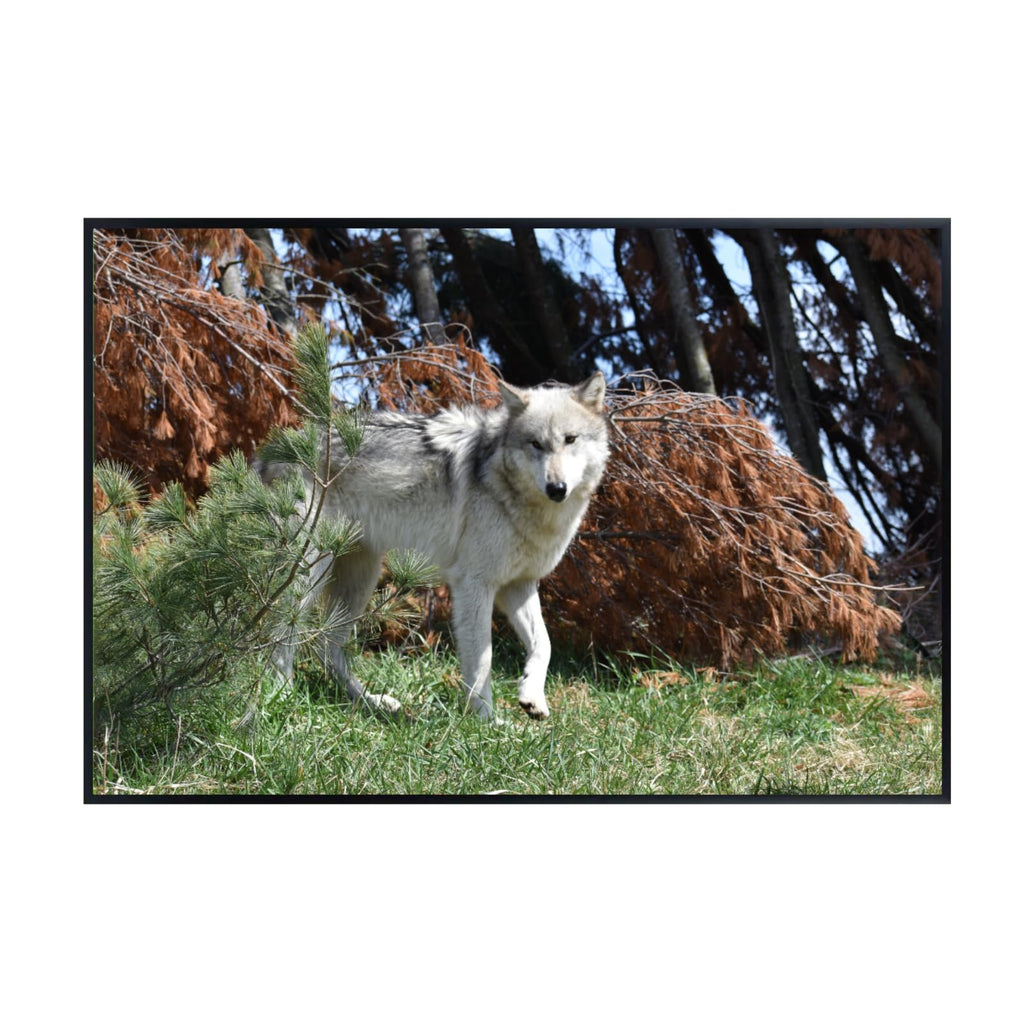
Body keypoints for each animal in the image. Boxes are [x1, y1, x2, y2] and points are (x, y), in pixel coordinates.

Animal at [256, 372, 609, 720]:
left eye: (571, 439)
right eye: (536, 444)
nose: (556, 488)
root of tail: (270, 451)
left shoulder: (518, 585)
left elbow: (543, 645)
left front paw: (532, 697)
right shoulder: (473, 585)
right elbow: (482, 663)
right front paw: (486, 722)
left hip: (360, 577)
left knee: (327, 646)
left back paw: (371, 703)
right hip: (311, 573)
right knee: (280, 631)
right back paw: (282, 697)